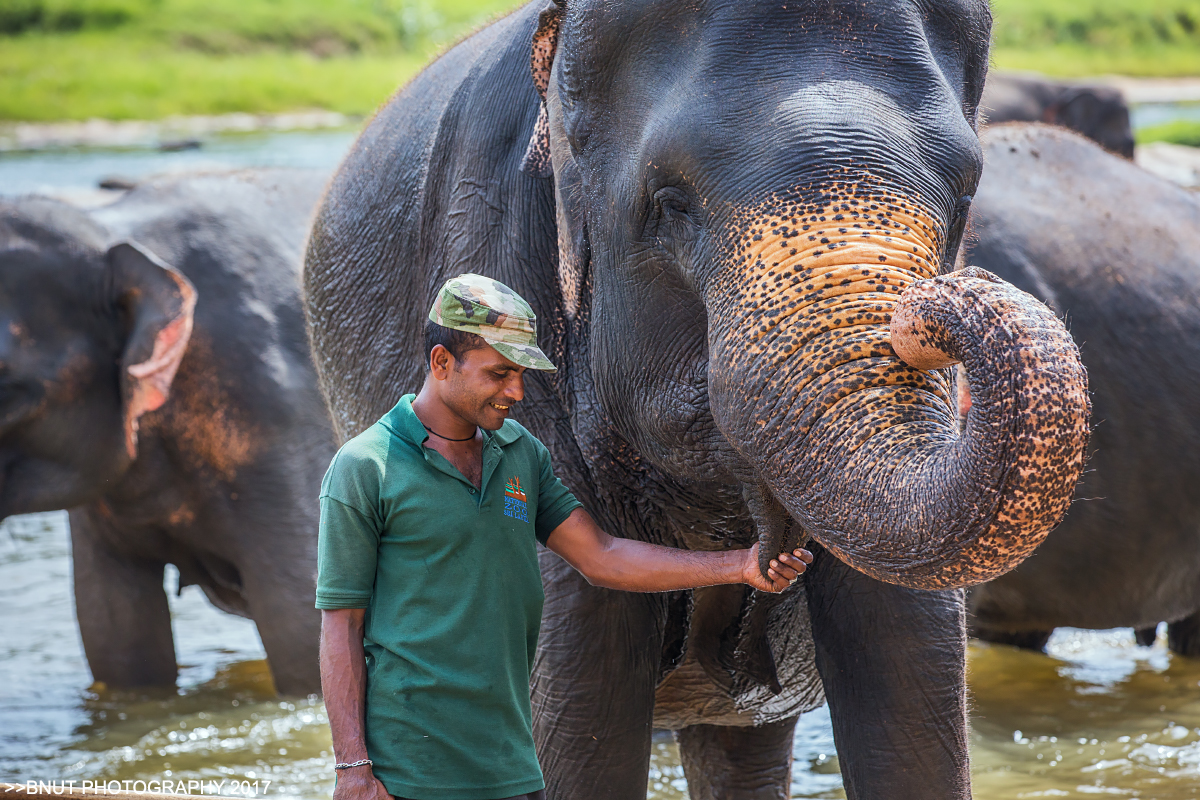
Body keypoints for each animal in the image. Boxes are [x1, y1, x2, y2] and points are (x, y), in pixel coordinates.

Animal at [304, 3, 1094, 796]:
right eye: (669, 204)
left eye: (966, 195)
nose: (939, 301)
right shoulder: (490, 247)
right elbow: (579, 708)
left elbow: (909, 674)